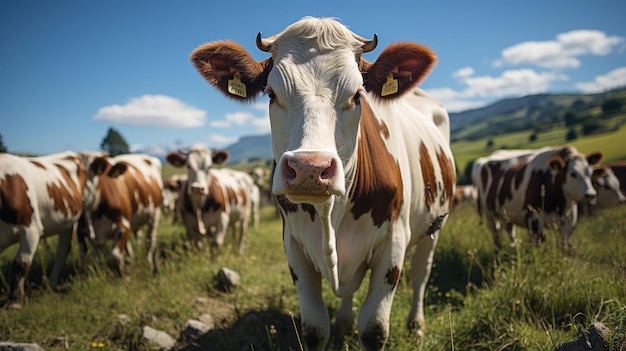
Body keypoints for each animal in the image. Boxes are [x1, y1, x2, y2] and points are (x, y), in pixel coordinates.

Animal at [0, 151, 88, 308]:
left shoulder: (31, 229)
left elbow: (20, 264)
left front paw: (15, 301)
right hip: (65, 221)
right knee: (63, 249)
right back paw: (51, 283)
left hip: (80, 217)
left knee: (72, 248)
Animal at [189, 16, 454, 351]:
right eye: (271, 94)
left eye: (357, 95)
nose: (309, 169)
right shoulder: (294, 245)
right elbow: (315, 328)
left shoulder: (394, 241)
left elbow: (374, 329)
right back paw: (344, 321)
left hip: (434, 225)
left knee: (421, 273)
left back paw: (416, 325)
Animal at [472, 146, 600, 253]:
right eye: (573, 174)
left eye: (590, 172)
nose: (591, 194)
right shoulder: (531, 215)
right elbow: (538, 241)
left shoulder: (570, 217)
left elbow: (564, 242)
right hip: (489, 214)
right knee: (496, 232)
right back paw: (498, 251)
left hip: (507, 214)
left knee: (510, 231)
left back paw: (514, 247)